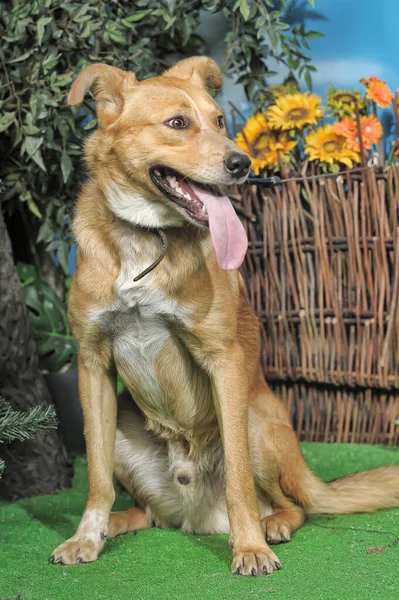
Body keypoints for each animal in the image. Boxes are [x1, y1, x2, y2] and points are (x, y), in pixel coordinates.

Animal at [51, 57, 399, 576]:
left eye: (218, 120)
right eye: (177, 123)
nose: (243, 164)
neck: (147, 238)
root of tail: (195, 518)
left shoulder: (225, 361)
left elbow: (238, 479)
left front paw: (250, 546)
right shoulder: (92, 364)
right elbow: (95, 478)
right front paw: (86, 536)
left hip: (253, 417)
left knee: (292, 505)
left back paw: (271, 525)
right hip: (122, 433)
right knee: (147, 512)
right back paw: (117, 523)